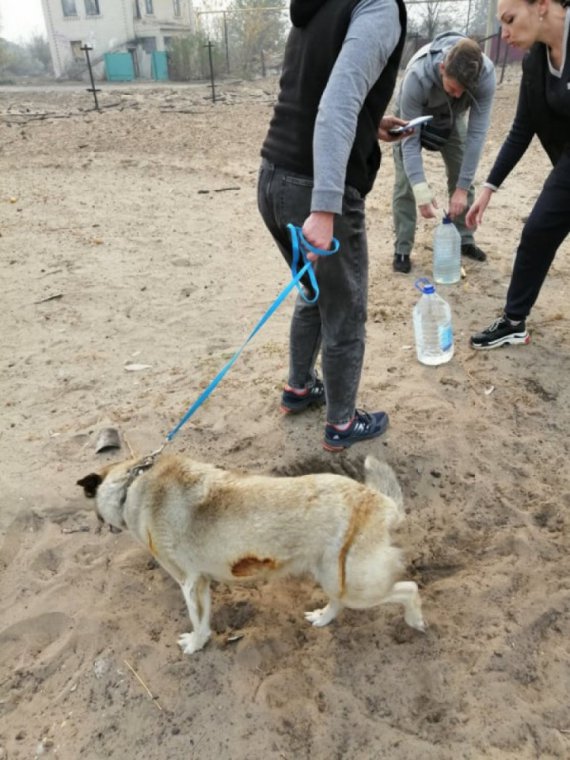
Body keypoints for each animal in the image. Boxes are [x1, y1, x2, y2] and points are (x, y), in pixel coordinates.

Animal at [76, 452, 422, 652]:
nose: (98, 527)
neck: (131, 485)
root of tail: (378, 500)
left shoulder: (189, 583)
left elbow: (198, 623)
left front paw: (194, 645)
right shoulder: (201, 584)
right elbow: (205, 618)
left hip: (356, 586)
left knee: (409, 588)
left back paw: (415, 620)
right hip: (333, 577)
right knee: (337, 603)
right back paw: (323, 618)